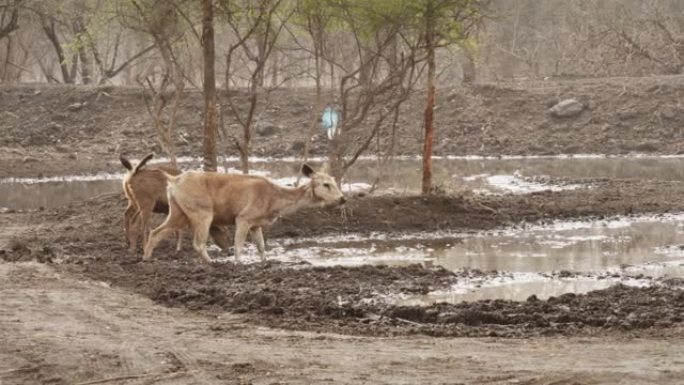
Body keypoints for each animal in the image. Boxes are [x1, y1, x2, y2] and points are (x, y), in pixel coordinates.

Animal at [145, 164, 348, 262]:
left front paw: (265, 263)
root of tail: (173, 180)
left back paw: (146, 259)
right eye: (325, 184)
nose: (343, 199)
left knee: (155, 232)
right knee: (198, 243)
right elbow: (239, 246)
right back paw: (212, 263)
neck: (273, 201)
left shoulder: (256, 224)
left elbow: (262, 247)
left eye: (334, 181)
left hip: (178, 212)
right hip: (201, 211)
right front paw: (238, 263)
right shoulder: (243, 217)